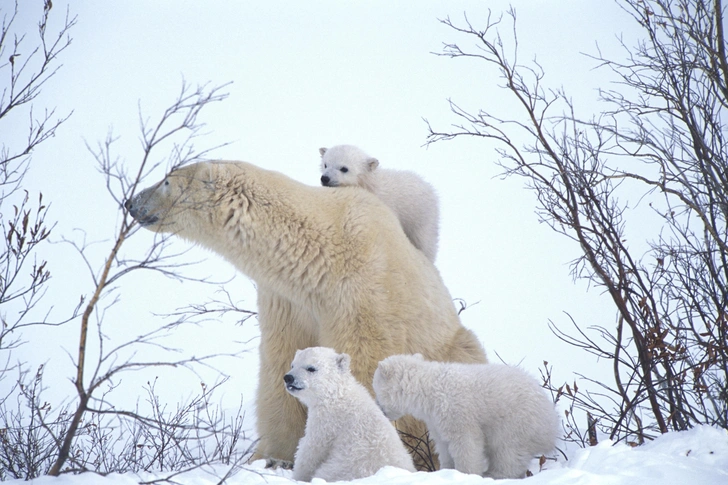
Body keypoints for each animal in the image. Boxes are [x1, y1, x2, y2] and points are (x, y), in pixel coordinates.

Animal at [284, 346, 416, 478]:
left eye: (311, 368)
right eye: (293, 365)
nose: (288, 378)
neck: (337, 395)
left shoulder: (328, 421)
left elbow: (312, 448)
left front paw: (298, 476)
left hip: (348, 466)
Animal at [372, 354, 560, 478]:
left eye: (375, 388)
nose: (380, 409)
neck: (430, 388)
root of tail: (551, 423)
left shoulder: (456, 412)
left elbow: (466, 444)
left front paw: (466, 473)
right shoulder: (436, 421)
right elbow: (443, 446)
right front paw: (445, 470)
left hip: (516, 421)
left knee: (508, 451)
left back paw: (494, 473)